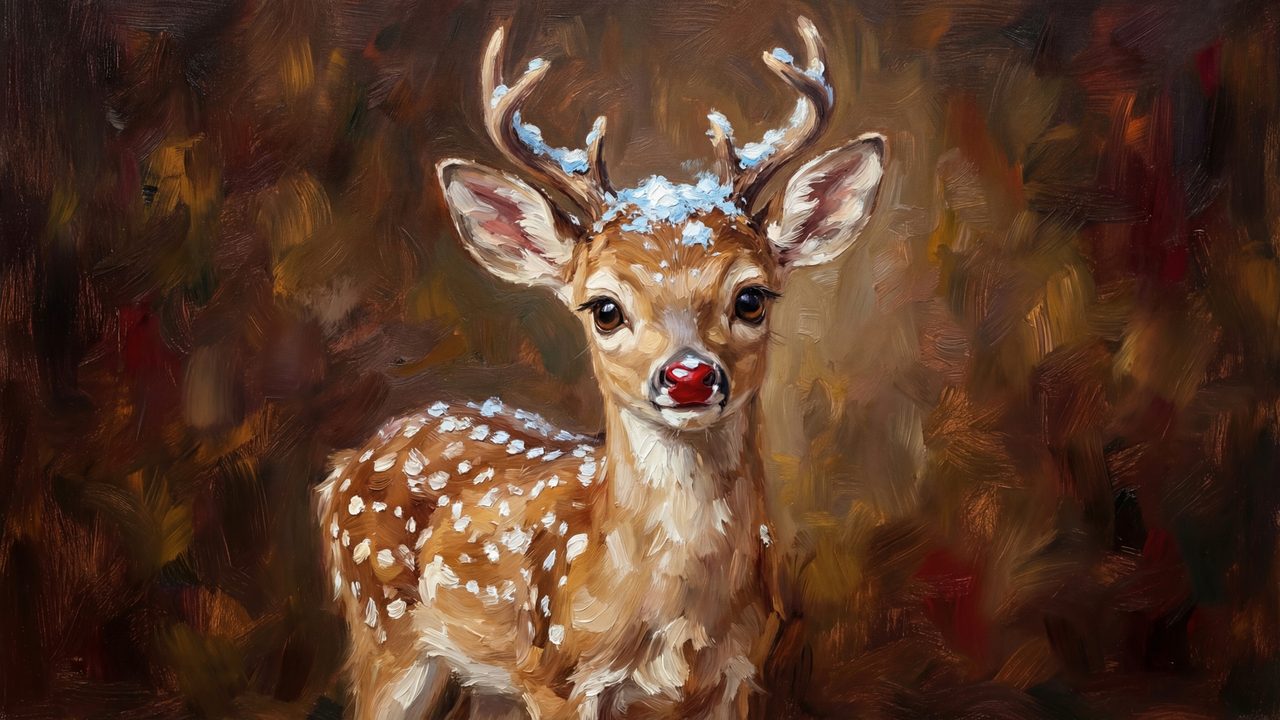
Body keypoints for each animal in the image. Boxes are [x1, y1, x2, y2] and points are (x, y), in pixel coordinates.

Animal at [314, 16, 885, 720]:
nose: (689, 377)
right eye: (605, 308)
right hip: (384, 634)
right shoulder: (559, 675)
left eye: (752, 296)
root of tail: (344, 466)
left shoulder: (740, 674)